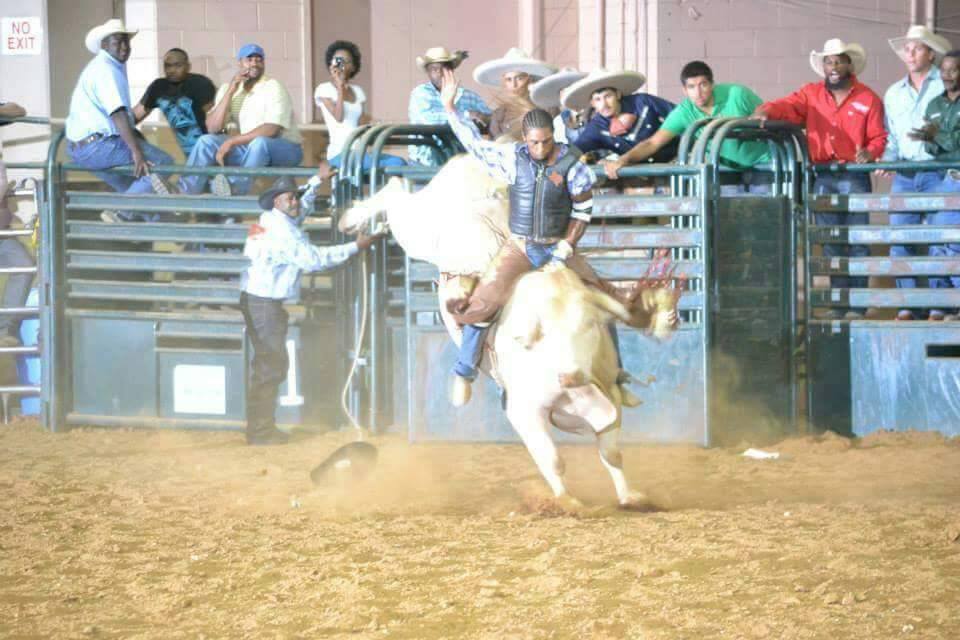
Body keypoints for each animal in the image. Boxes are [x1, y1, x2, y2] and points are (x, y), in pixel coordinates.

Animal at [342, 155, 680, 510]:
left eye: (589, 325)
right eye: (541, 332)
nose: (570, 375)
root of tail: (472, 167)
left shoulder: (608, 394)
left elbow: (611, 452)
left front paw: (629, 496)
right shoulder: (524, 412)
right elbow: (553, 459)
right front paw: (564, 501)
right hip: (421, 227)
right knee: (395, 196)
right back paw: (353, 218)